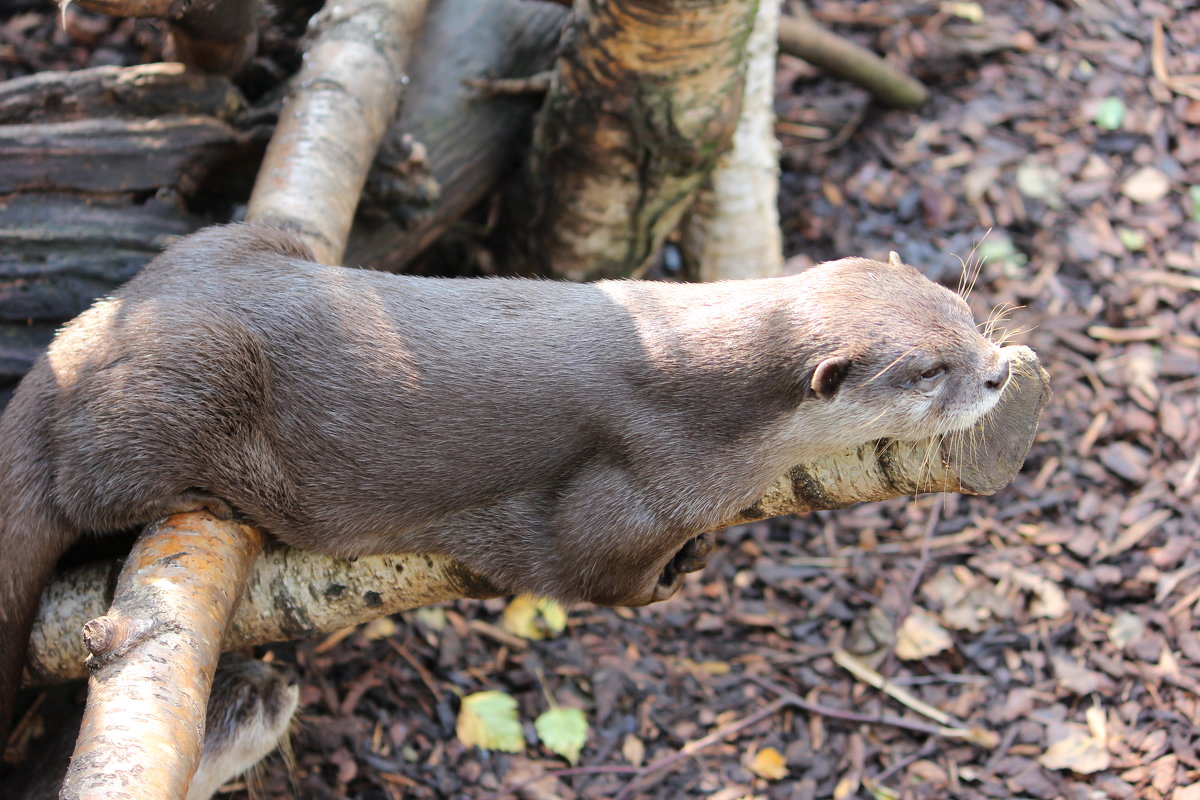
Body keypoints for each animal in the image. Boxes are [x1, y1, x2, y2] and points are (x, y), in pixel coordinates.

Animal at [0, 220, 1012, 743]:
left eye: (963, 311)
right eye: (926, 370)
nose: (998, 371)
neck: (715, 409)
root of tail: (83, 334)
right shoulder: (634, 483)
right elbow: (595, 574)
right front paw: (674, 574)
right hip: (181, 380)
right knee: (88, 482)